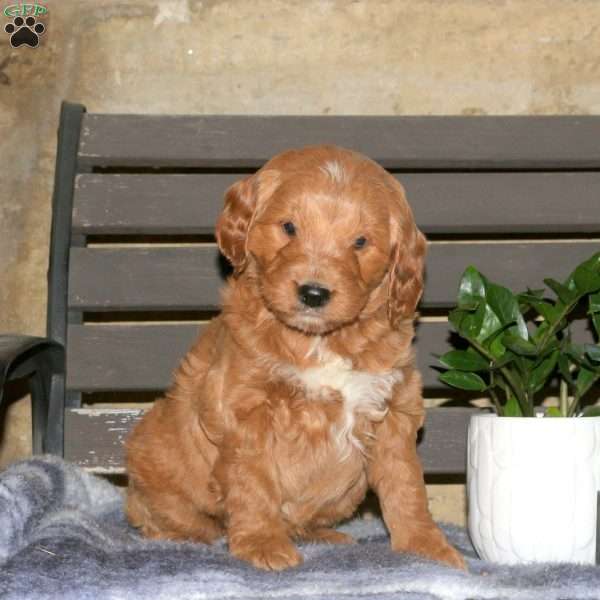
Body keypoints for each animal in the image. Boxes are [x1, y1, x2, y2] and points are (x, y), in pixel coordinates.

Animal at [125, 145, 464, 572]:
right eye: (289, 227)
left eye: (360, 242)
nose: (314, 293)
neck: (323, 342)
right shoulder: (245, 409)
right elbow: (253, 482)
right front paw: (262, 544)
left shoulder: (394, 412)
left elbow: (407, 486)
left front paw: (427, 548)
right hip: (153, 456)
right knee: (164, 515)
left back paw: (325, 535)